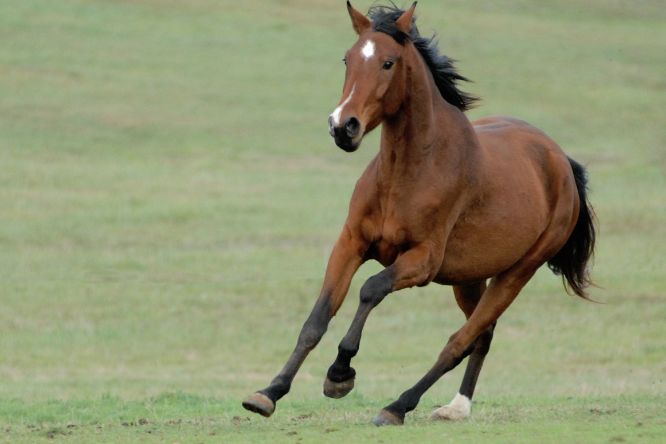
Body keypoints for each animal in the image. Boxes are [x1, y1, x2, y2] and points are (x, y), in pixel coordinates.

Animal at [241, 3, 592, 426]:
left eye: (388, 62)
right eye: (348, 58)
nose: (343, 127)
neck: (407, 173)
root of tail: (562, 162)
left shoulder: (422, 261)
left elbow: (371, 289)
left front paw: (340, 374)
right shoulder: (351, 243)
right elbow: (317, 319)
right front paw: (268, 393)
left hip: (516, 274)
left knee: (460, 340)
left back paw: (397, 406)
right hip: (469, 278)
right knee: (483, 334)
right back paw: (456, 407)